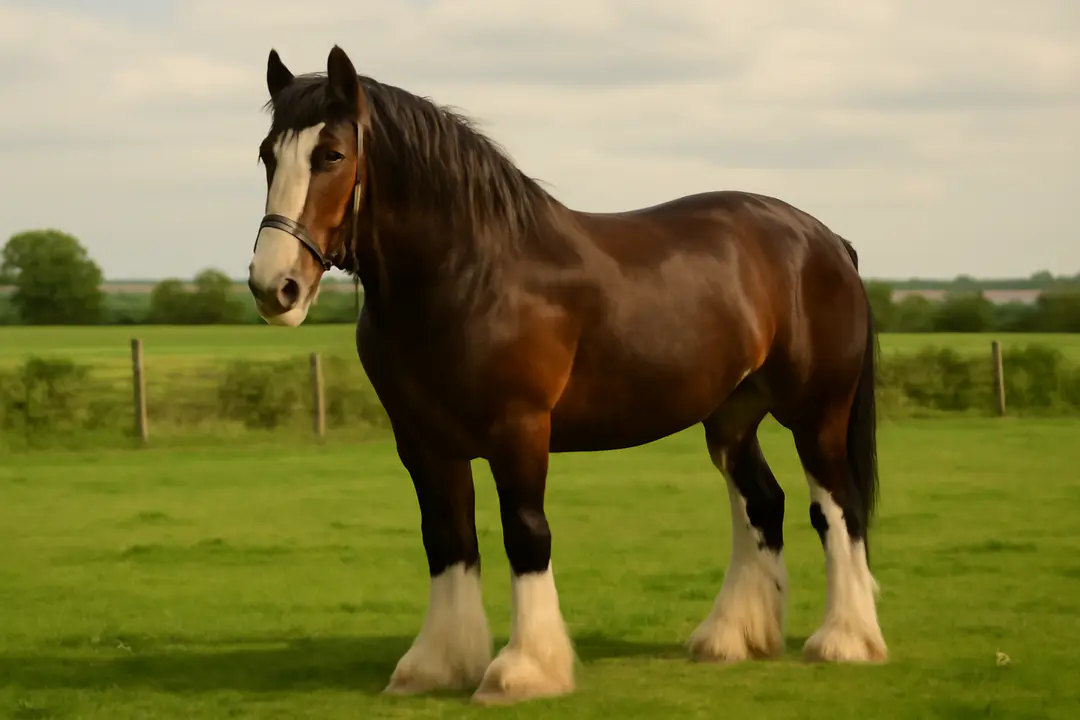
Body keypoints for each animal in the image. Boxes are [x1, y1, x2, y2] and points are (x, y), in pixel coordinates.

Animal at [246, 45, 888, 705]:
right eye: (268, 153)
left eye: (331, 155)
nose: (275, 287)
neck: (471, 273)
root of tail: (824, 239)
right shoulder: (424, 443)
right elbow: (447, 537)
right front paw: (436, 665)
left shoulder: (520, 430)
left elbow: (526, 533)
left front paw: (524, 668)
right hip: (731, 416)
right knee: (761, 502)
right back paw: (730, 637)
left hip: (817, 413)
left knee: (837, 507)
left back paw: (845, 640)